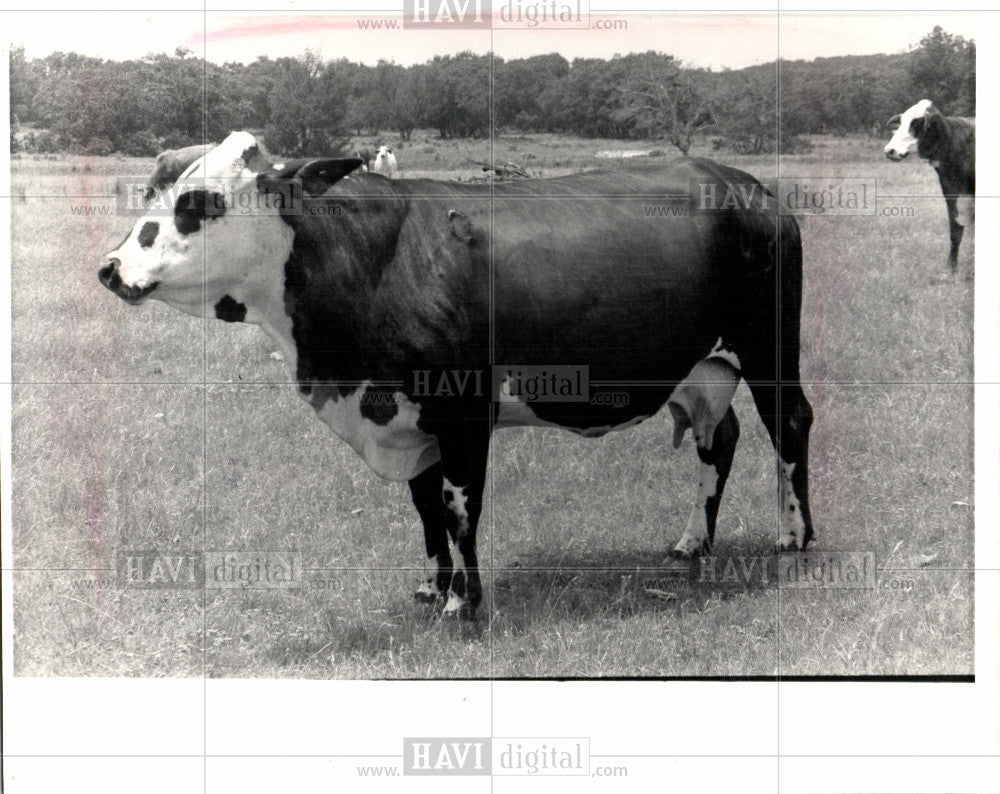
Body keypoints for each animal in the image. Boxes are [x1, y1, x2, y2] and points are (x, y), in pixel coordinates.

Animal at [97, 131, 816, 620]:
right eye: (151, 190)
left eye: (200, 202)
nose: (109, 267)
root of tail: (746, 183)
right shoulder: (411, 418)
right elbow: (424, 507)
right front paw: (432, 585)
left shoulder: (466, 410)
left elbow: (458, 506)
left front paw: (464, 603)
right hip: (702, 366)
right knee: (719, 438)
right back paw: (694, 541)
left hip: (769, 348)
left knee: (790, 423)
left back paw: (795, 537)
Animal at [884, 98, 976, 272]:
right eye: (901, 122)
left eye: (916, 122)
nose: (889, 150)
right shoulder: (951, 196)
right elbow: (955, 233)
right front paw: (951, 270)